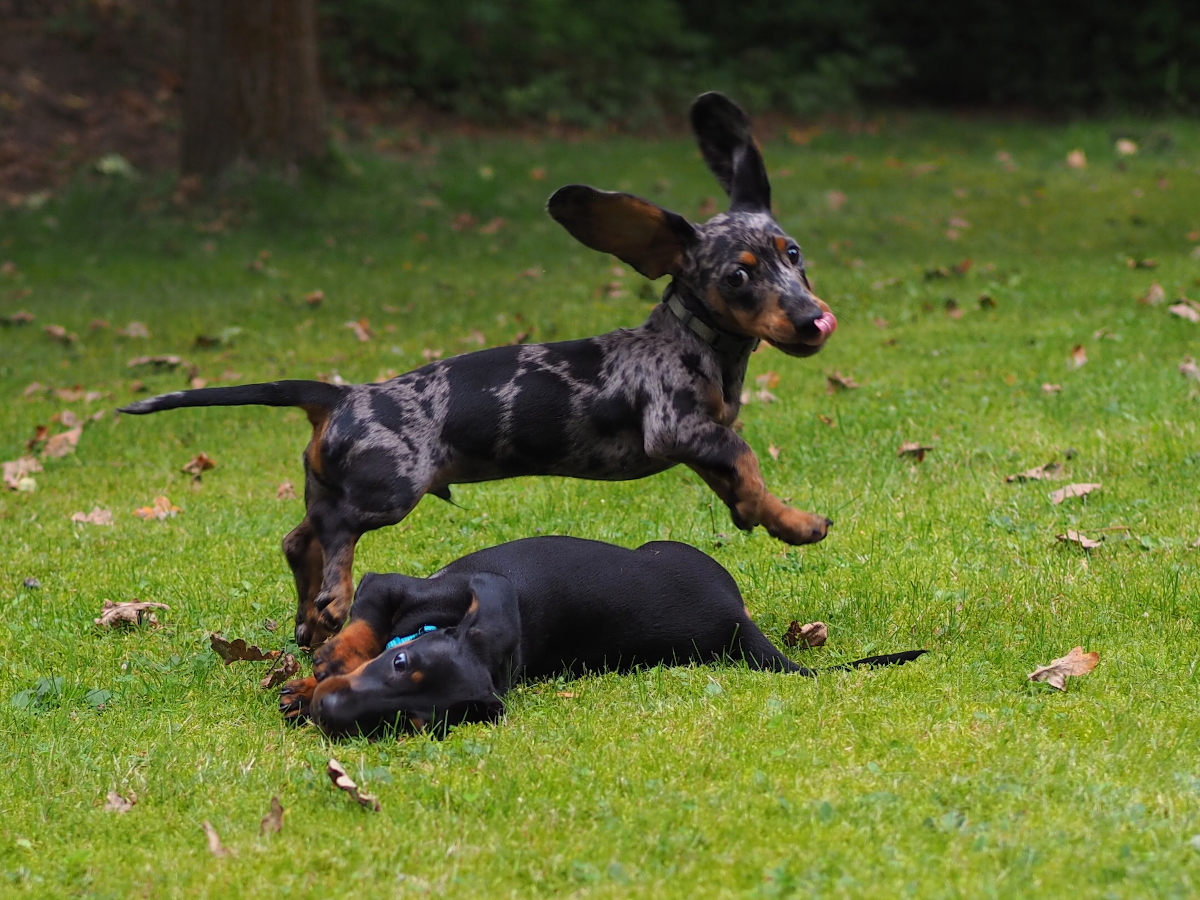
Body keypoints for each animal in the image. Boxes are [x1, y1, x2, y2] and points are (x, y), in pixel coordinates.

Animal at [119, 91, 835, 648]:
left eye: (794, 254)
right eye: (738, 276)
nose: (814, 320)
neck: (695, 340)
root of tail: (340, 395)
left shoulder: (700, 438)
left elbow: (733, 474)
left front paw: (770, 518)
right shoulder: (679, 428)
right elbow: (745, 457)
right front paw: (780, 516)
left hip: (329, 485)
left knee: (300, 541)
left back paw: (310, 619)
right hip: (387, 492)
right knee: (335, 534)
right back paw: (333, 599)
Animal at [280, 535, 926, 739]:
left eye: (411, 724)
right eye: (400, 665)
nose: (330, 715)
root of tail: (737, 619)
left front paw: (313, 683)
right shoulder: (387, 593)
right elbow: (361, 632)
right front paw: (319, 672)